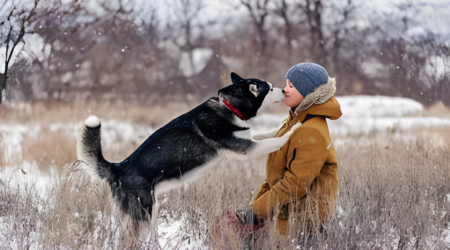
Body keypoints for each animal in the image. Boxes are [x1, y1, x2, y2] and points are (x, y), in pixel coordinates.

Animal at [76, 72, 298, 229]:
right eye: (270, 88)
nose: (283, 91)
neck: (229, 107)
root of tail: (118, 167)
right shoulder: (245, 149)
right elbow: (276, 141)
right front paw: (294, 129)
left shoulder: (248, 139)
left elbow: (269, 134)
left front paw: (283, 126)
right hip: (143, 213)